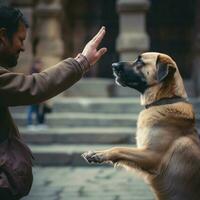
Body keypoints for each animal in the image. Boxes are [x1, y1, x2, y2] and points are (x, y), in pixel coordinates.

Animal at [82, 52, 200, 199]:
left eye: (140, 62)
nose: (113, 65)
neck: (164, 101)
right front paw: (96, 153)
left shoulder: (152, 156)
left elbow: (119, 148)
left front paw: (100, 155)